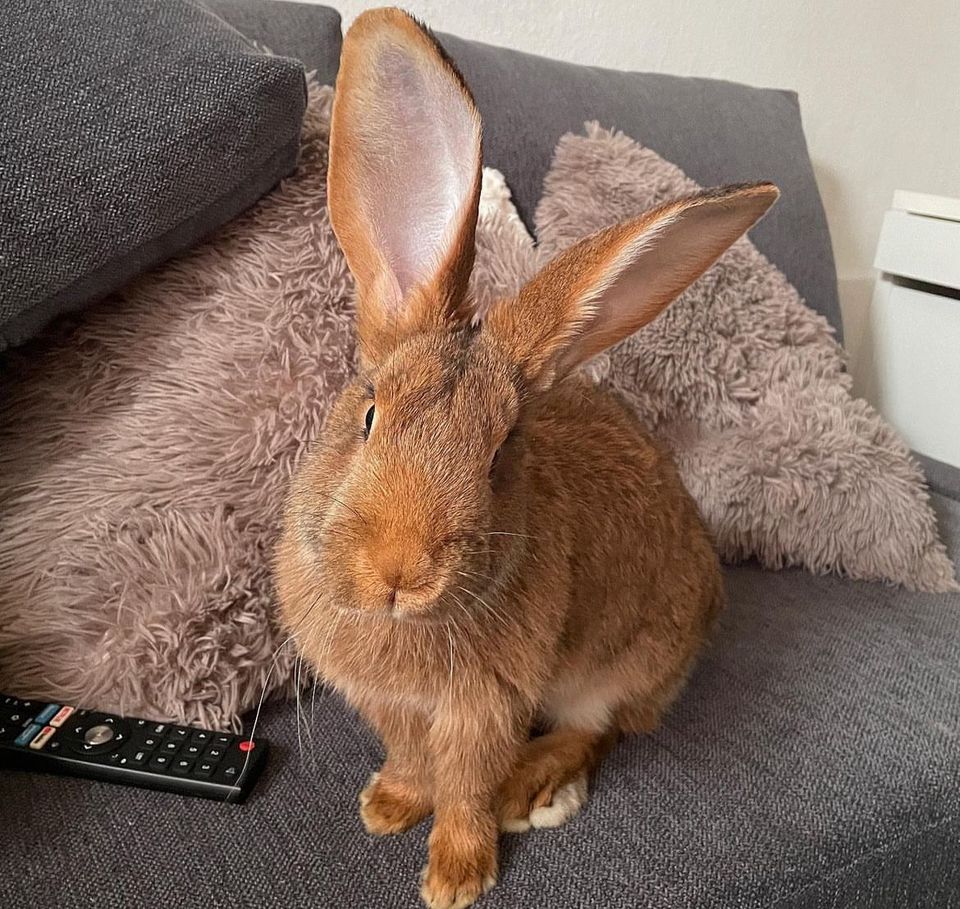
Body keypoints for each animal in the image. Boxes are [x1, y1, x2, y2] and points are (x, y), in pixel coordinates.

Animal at [272, 8, 780, 908]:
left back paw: (531, 789)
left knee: (598, 730)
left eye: (501, 450)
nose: (401, 570)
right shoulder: (394, 706)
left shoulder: (488, 704)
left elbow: (468, 784)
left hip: (620, 665)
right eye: (368, 413)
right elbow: (413, 758)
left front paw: (455, 875)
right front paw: (389, 805)